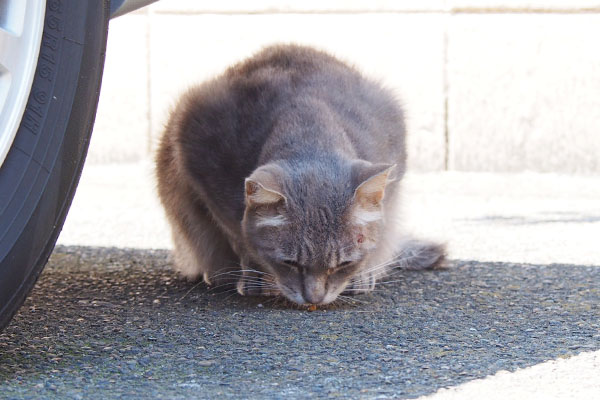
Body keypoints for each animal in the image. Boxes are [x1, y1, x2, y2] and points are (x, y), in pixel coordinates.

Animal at [156, 43, 446, 304]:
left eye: (343, 264)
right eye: (290, 263)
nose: (314, 299)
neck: (308, 127)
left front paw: (361, 274)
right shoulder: (202, 169)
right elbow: (240, 238)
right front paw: (257, 276)